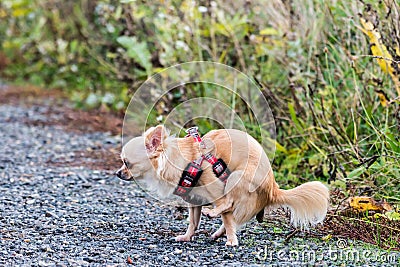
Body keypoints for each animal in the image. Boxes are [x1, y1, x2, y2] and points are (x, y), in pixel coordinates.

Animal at [115, 125, 328, 247]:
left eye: (127, 163)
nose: (118, 173)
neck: (182, 162)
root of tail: (273, 190)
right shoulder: (194, 201)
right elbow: (193, 222)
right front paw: (187, 237)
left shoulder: (218, 191)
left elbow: (226, 213)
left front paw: (232, 241)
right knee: (234, 216)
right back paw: (217, 232)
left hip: (237, 177)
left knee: (229, 206)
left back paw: (215, 217)